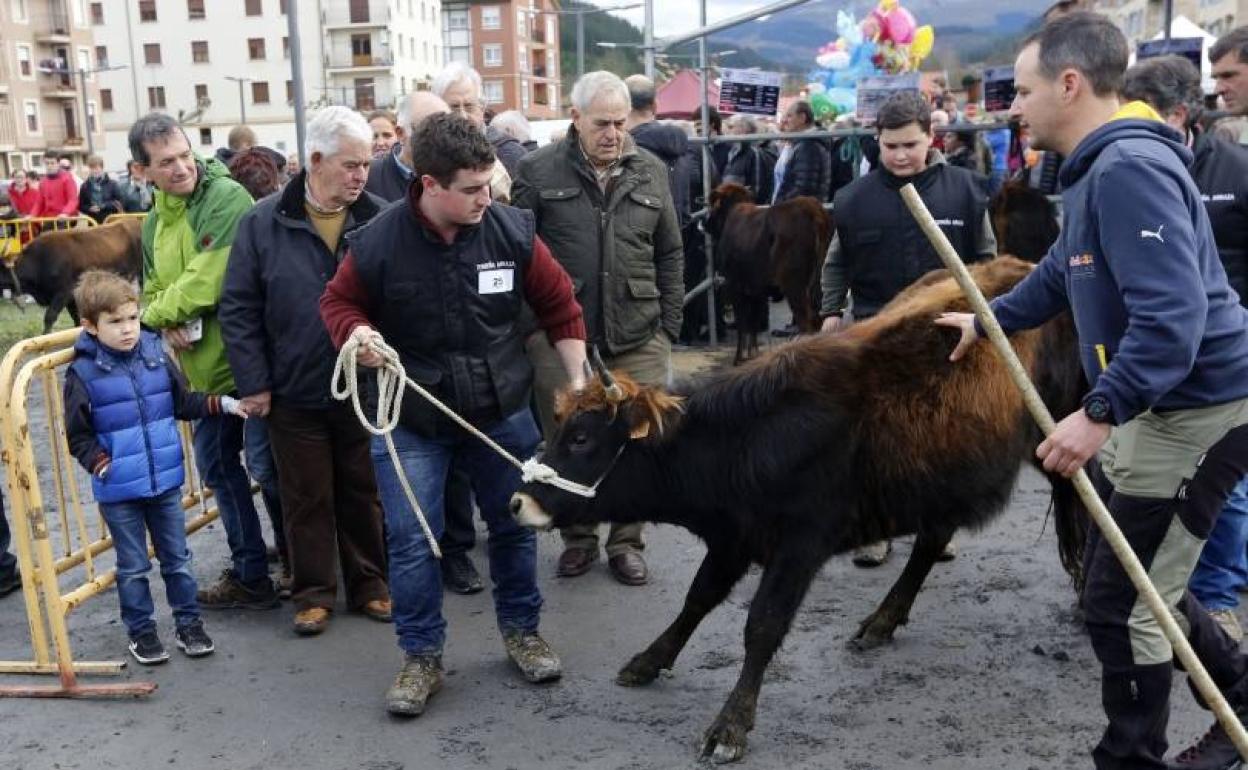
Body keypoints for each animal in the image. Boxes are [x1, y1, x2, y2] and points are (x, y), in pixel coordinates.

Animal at [708, 185, 833, 366]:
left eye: (713, 205)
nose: (705, 224)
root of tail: (812, 210)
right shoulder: (756, 289)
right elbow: (753, 323)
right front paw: (753, 355)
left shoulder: (735, 286)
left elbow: (743, 324)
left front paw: (738, 358)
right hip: (820, 285)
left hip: (795, 288)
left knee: (807, 323)